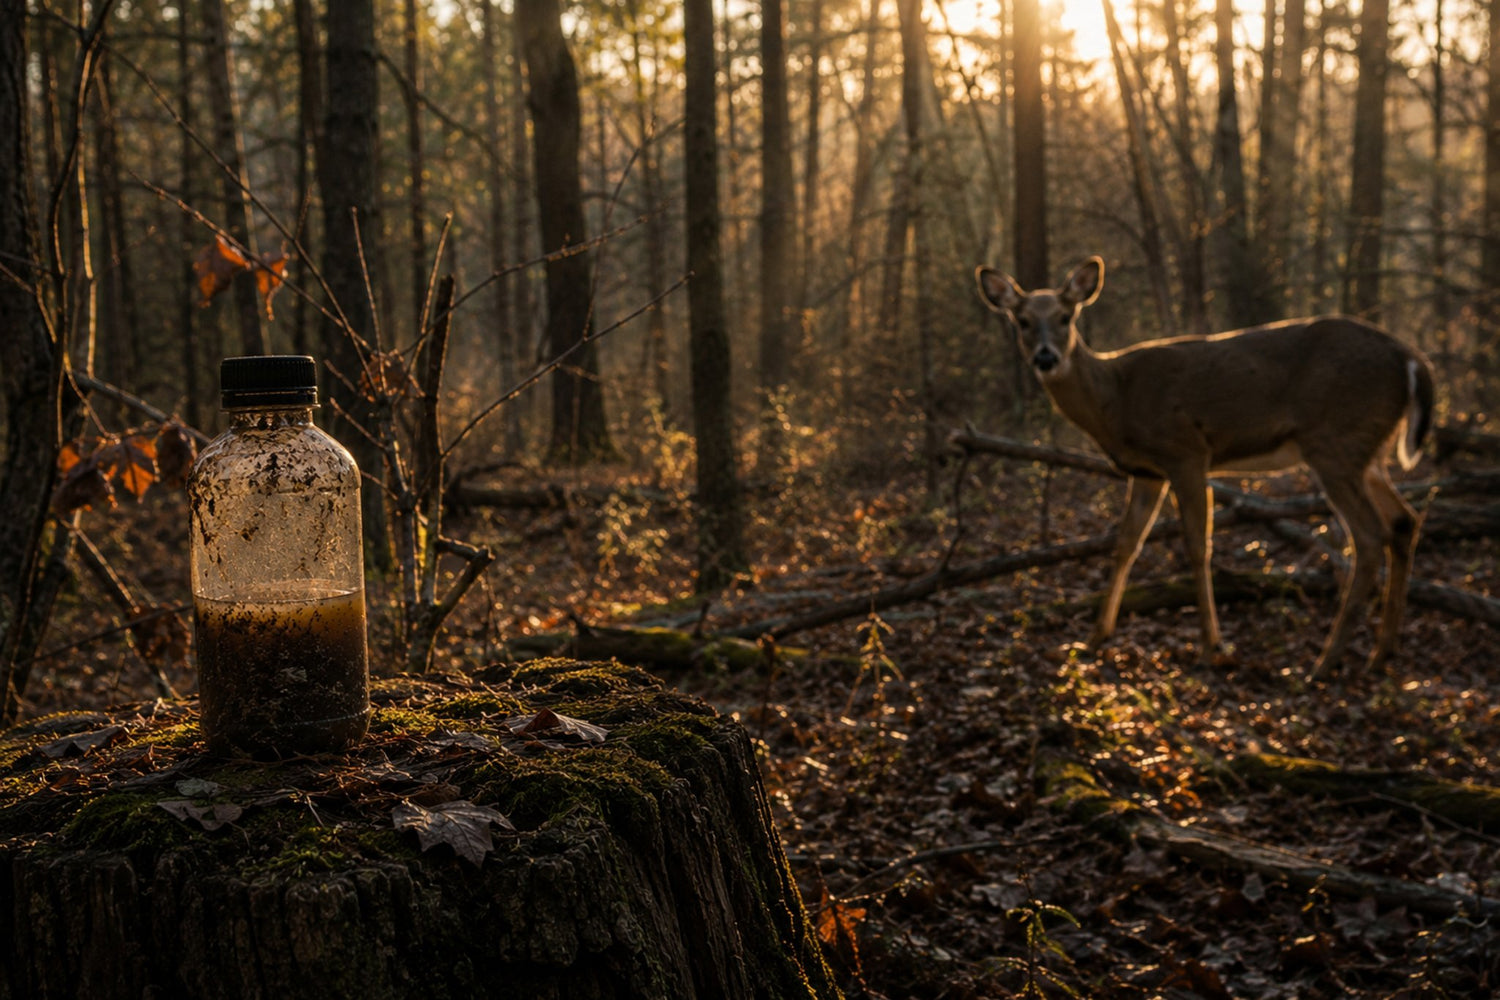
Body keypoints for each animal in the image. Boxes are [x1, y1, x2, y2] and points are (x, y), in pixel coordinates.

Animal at [974, 256, 1435, 679]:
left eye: (1065, 316)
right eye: (1021, 320)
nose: (1046, 358)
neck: (1115, 400)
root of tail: (1410, 357)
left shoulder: (1186, 453)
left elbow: (1198, 546)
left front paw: (1211, 646)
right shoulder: (1147, 473)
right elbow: (1126, 544)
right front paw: (1093, 638)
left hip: (1334, 443)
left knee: (1370, 536)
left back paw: (1326, 661)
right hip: (1367, 454)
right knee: (1404, 522)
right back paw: (1382, 652)